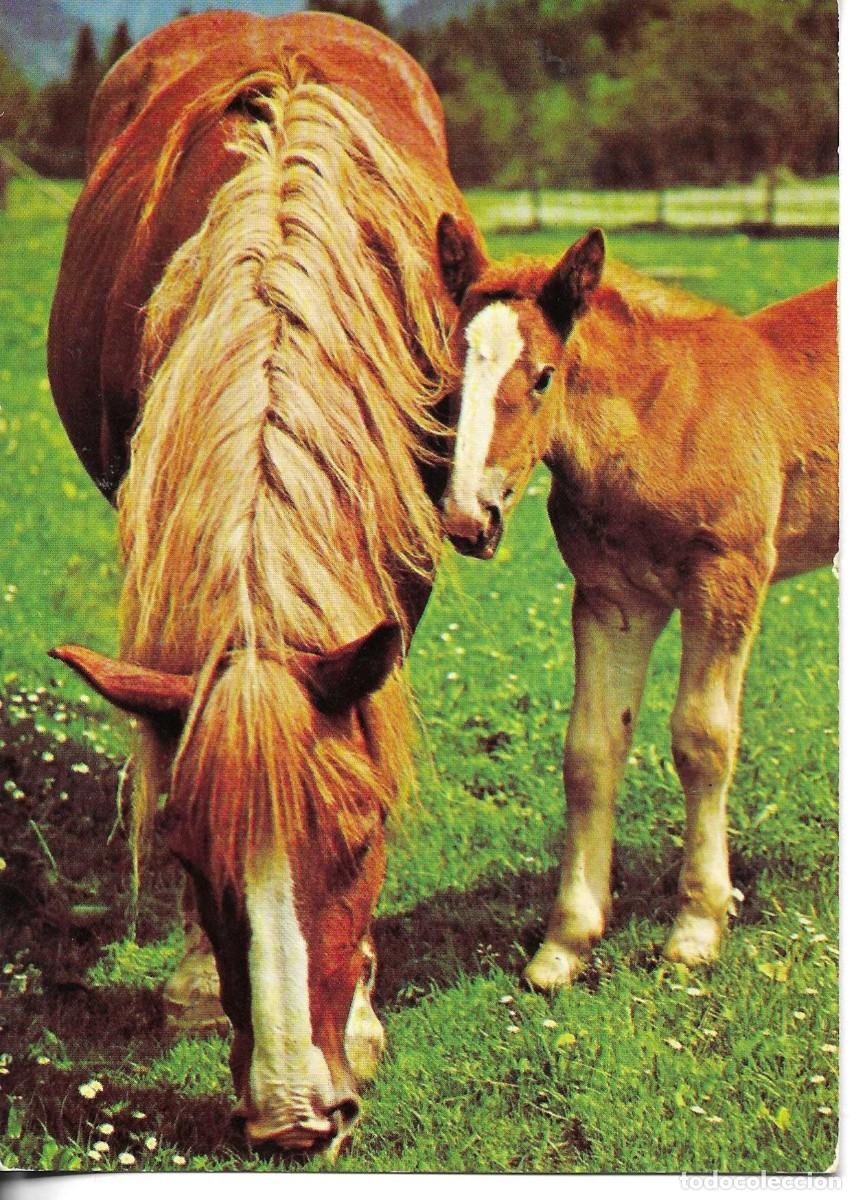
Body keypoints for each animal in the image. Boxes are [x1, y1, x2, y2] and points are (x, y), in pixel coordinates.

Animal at [435, 215, 838, 990]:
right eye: (447, 374)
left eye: (543, 376)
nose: (469, 519)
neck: (661, 427)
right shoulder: (611, 599)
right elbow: (591, 749)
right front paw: (564, 943)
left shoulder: (725, 578)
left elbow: (701, 739)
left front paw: (698, 927)